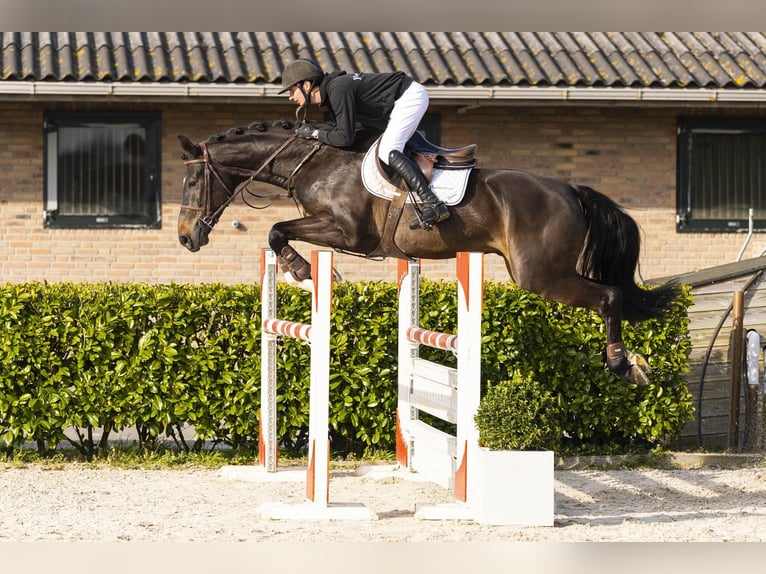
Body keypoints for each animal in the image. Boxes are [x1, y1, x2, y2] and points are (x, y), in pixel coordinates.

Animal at [177, 120, 680, 386]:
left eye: (192, 179)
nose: (185, 238)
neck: (315, 163)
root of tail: (572, 191)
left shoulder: (348, 233)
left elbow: (277, 230)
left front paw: (303, 270)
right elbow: (277, 231)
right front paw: (299, 271)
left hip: (540, 276)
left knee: (610, 297)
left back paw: (625, 365)